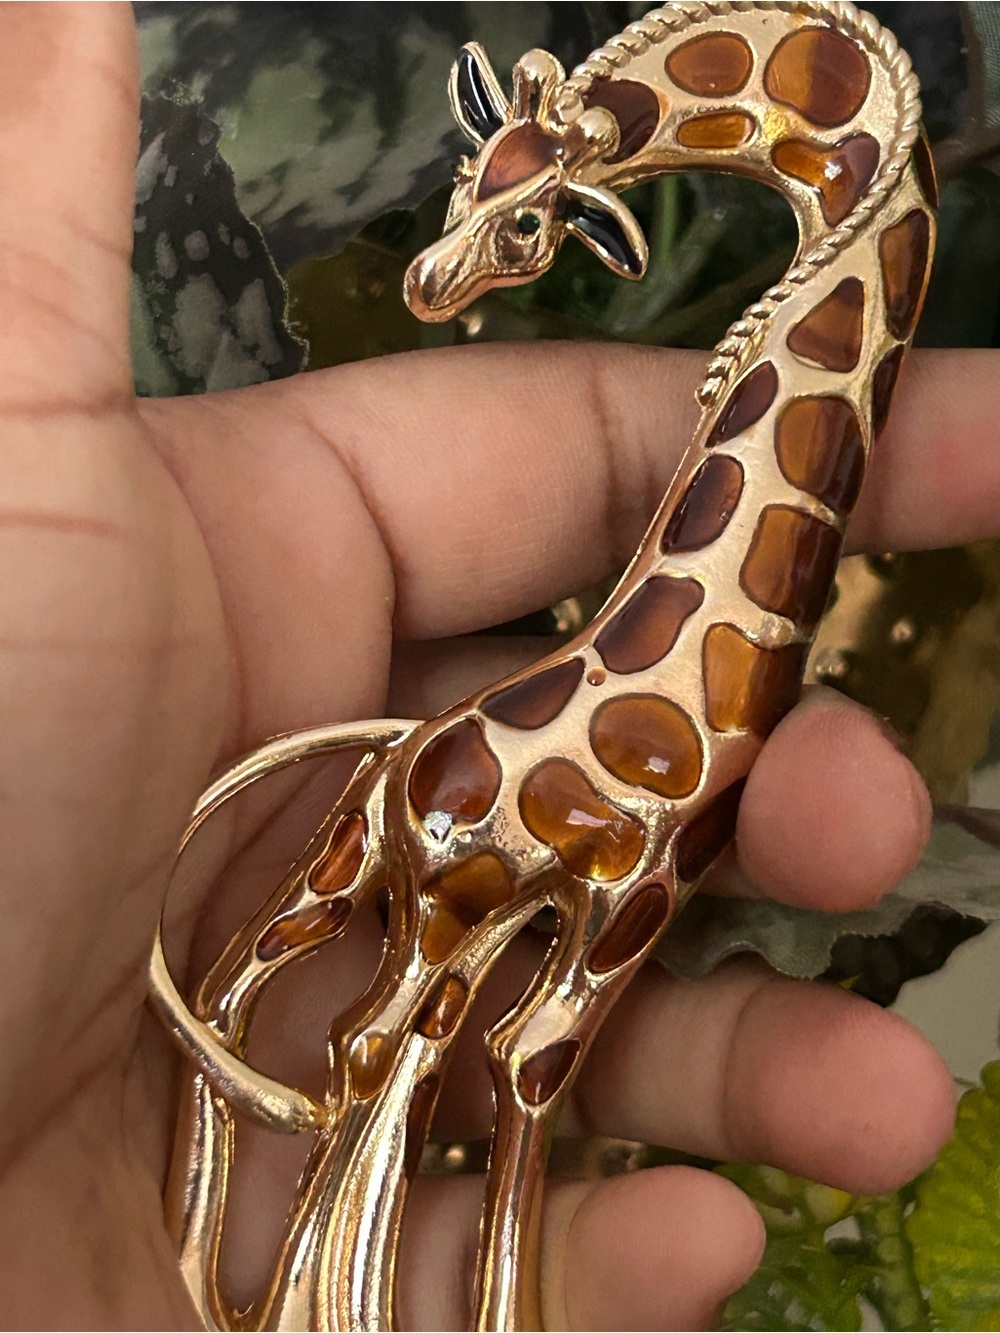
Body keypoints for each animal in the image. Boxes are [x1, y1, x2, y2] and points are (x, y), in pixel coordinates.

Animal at [149, 4, 937, 1330]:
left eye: (528, 218)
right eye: (468, 175)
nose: (427, 285)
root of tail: (395, 765)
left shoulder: (628, 897)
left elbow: (503, 1065)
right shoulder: (634, 894)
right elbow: (519, 1067)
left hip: (373, 879)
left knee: (278, 1011)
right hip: (424, 895)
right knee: (339, 1040)